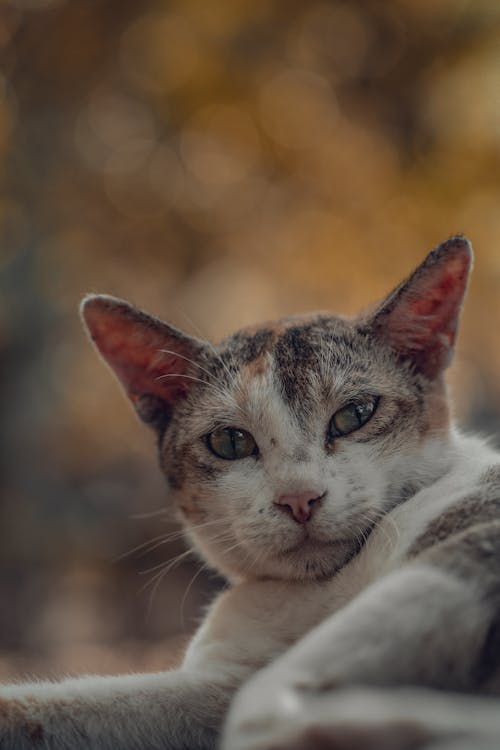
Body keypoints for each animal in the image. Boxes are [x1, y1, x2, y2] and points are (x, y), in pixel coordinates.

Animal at [0, 236, 500, 750]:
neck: (306, 593)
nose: (299, 498)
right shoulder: (216, 685)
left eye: (355, 414)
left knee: (266, 716)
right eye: (230, 442)